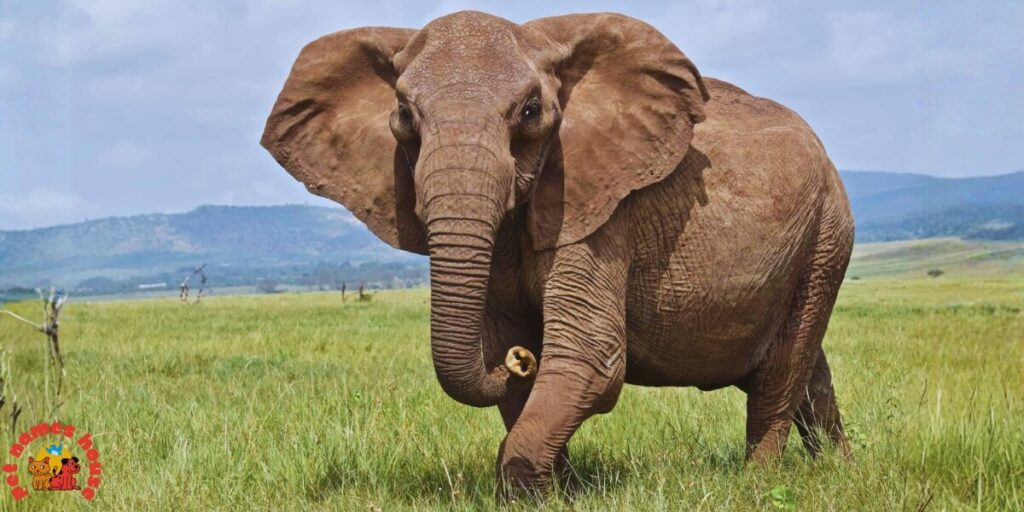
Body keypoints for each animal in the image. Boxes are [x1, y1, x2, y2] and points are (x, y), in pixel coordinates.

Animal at [261, 11, 854, 494]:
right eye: (405, 114)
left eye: (530, 112)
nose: (521, 360)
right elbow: (510, 353)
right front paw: (561, 492)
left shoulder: (597, 211)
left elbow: (591, 355)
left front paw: (530, 485)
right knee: (809, 374)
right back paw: (838, 468)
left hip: (826, 236)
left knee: (781, 373)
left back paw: (758, 482)